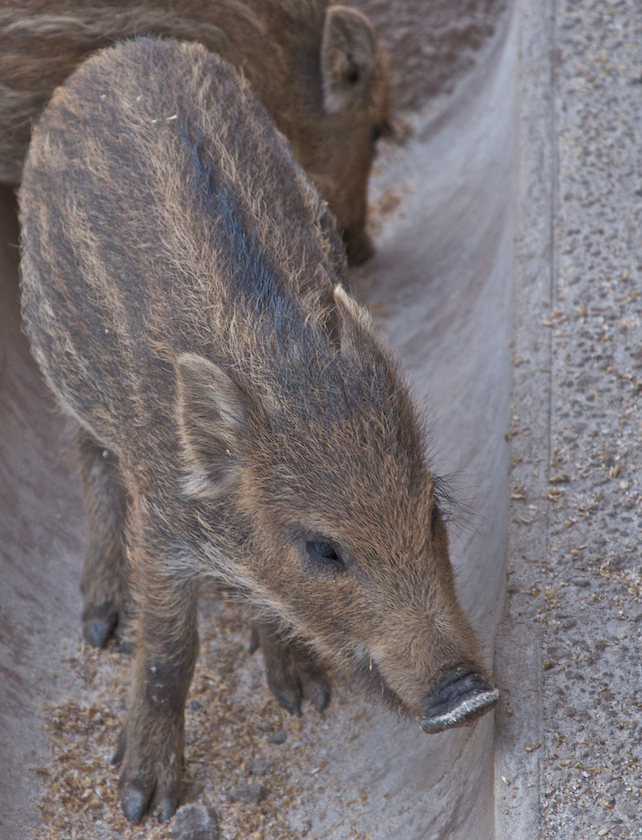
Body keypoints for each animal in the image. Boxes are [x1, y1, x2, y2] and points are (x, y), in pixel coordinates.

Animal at [19, 37, 498, 823]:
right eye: (322, 549)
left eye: (433, 510)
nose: (473, 696)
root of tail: (118, 53)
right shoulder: (163, 529)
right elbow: (169, 653)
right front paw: (143, 801)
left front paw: (303, 696)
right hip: (60, 361)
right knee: (90, 460)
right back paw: (102, 622)